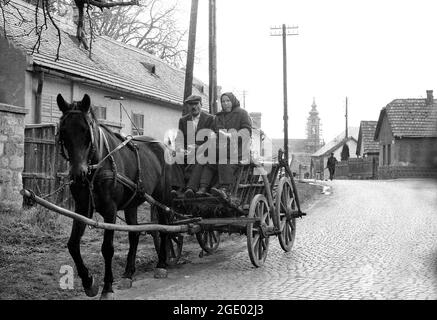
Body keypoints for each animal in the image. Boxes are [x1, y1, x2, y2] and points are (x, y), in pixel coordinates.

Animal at [57, 92, 172, 300]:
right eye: (63, 132)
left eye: (86, 132)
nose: (78, 174)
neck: (97, 166)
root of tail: (161, 145)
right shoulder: (82, 208)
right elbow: (73, 244)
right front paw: (89, 282)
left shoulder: (110, 210)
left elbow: (107, 248)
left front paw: (108, 287)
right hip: (132, 203)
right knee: (134, 234)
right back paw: (128, 274)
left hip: (162, 198)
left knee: (165, 227)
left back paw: (161, 264)